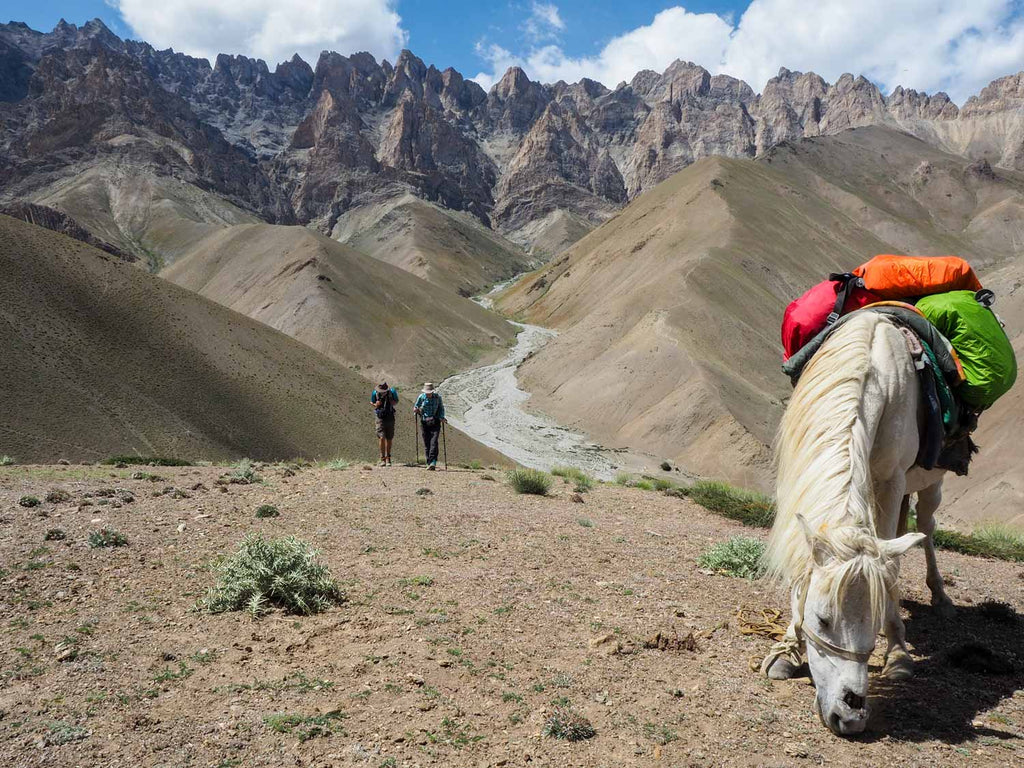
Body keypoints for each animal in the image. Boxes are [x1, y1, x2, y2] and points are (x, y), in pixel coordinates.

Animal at [761, 313, 950, 741]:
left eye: (873, 617)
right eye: (822, 619)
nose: (849, 717)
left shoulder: (891, 480)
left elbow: (891, 566)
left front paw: (898, 654)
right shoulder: (797, 476)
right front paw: (787, 650)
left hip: (931, 483)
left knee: (926, 527)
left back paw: (939, 595)